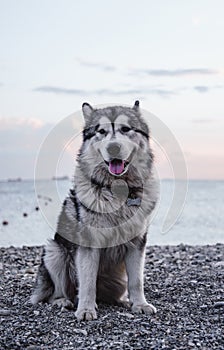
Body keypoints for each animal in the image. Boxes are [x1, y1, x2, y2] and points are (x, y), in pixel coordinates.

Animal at [31, 100, 158, 320]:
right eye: (101, 131)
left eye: (126, 129)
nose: (113, 147)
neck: (117, 189)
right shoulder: (88, 244)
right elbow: (88, 281)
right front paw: (86, 309)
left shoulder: (136, 243)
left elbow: (137, 280)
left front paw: (140, 304)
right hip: (54, 252)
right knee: (58, 290)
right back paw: (62, 301)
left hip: (118, 281)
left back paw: (123, 300)